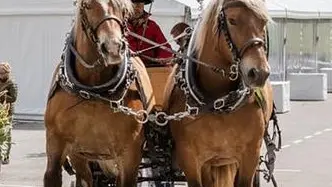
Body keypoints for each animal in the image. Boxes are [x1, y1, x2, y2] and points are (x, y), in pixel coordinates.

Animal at [42, 0, 154, 187]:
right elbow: (53, 174)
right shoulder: (56, 142)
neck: (93, 93)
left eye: (124, 8)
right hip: (79, 155)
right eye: (87, 5)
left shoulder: (130, 153)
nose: (113, 48)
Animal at [164, 0, 274, 186]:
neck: (217, 104)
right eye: (232, 20)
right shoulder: (189, 157)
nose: (259, 73)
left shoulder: (250, 155)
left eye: (263, 22)